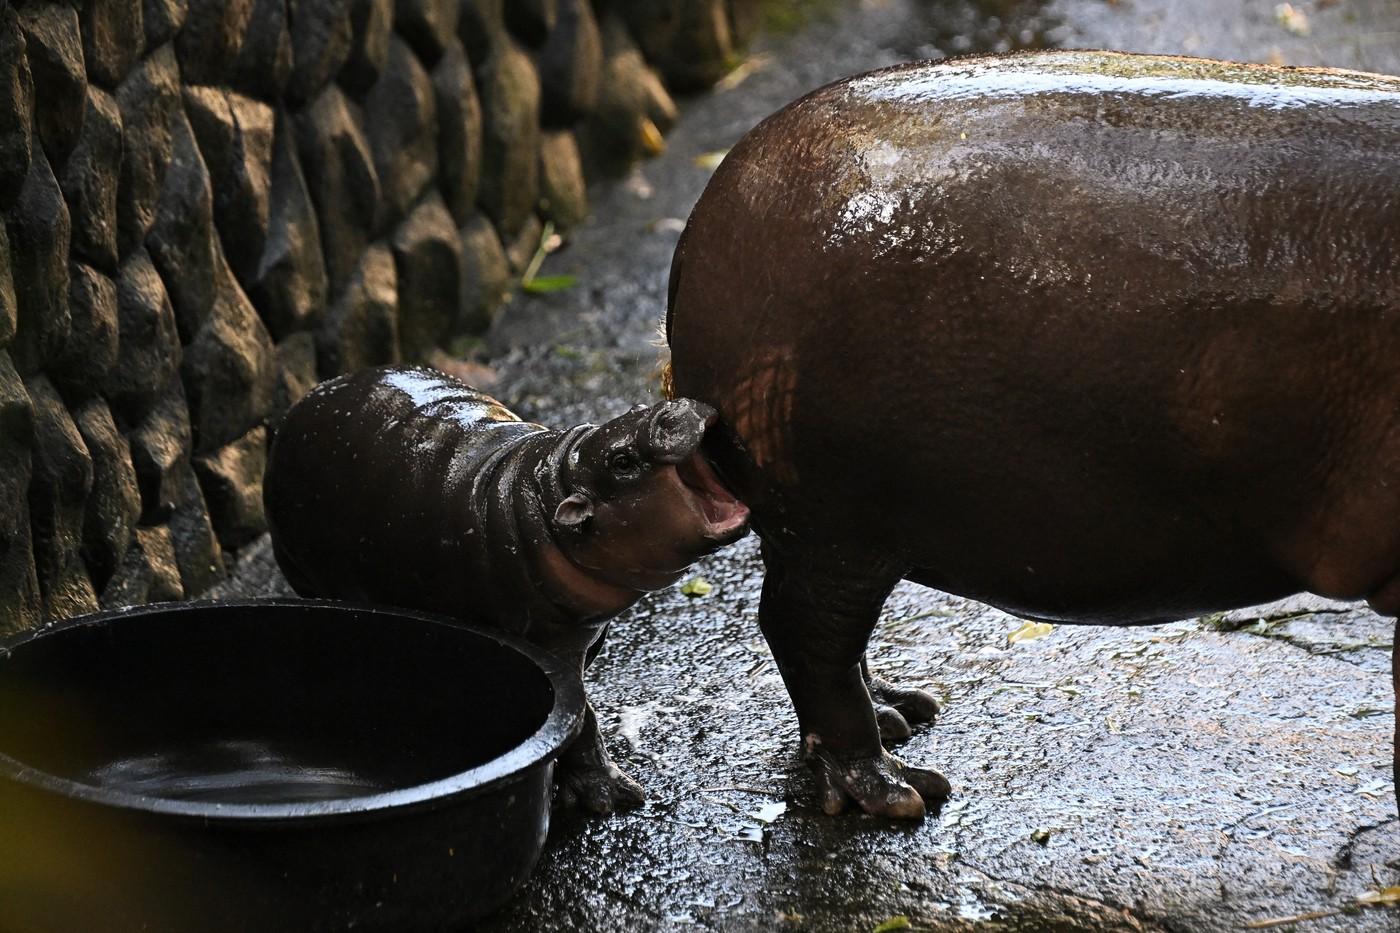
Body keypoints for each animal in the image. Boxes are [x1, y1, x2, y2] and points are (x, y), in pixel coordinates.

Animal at [259, 364, 750, 806]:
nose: (672, 407)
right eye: (621, 461)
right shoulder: (546, 642)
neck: (551, 486)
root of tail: (297, 407)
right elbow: (579, 716)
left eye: (635, 408)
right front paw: (612, 797)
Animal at [663, 52, 1400, 812]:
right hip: (833, 525)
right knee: (804, 632)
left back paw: (902, 712)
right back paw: (893, 789)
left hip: (829, 529)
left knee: (831, 640)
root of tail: (704, 215)